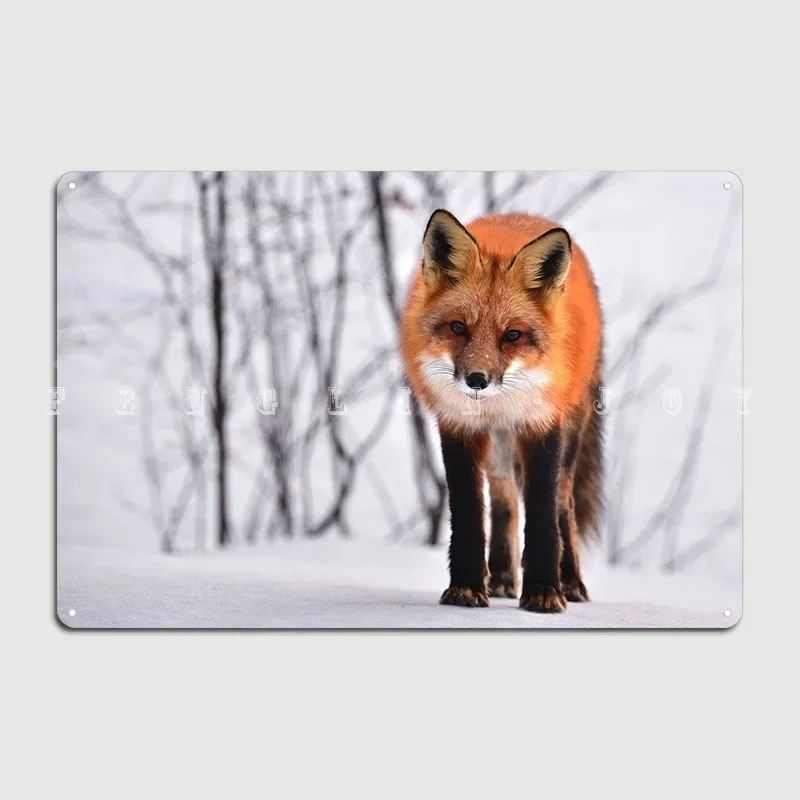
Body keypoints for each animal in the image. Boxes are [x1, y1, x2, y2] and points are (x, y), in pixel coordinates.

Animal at [400, 210, 603, 613]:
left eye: (512, 335)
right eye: (458, 327)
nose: (477, 380)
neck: (496, 403)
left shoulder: (542, 424)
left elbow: (542, 515)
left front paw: (544, 590)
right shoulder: (458, 427)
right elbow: (469, 513)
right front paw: (465, 587)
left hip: (569, 432)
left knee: (564, 502)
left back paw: (571, 581)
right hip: (498, 448)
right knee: (504, 499)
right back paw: (502, 577)